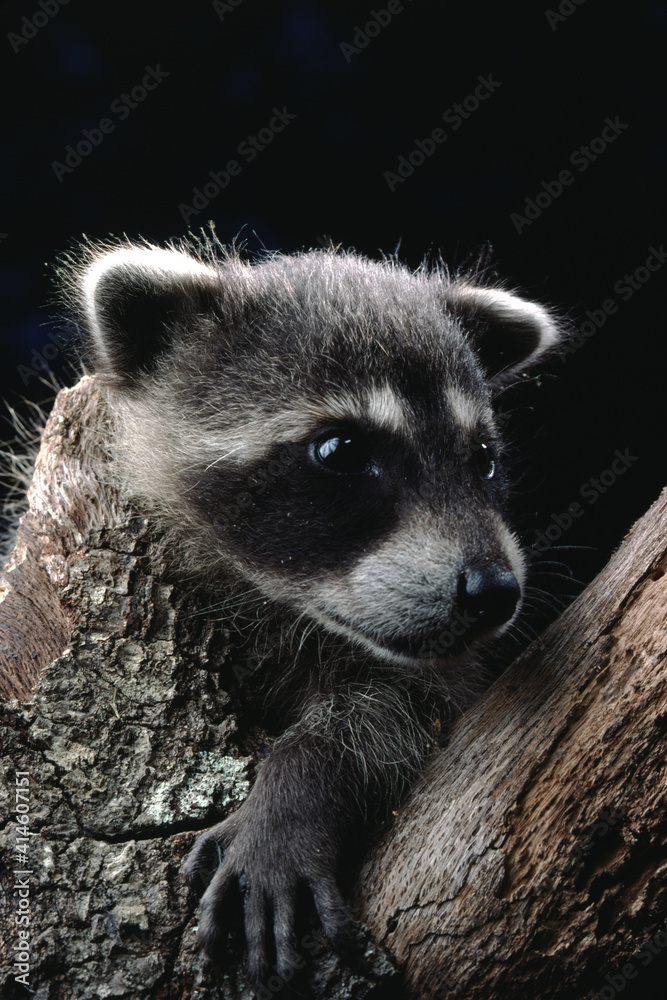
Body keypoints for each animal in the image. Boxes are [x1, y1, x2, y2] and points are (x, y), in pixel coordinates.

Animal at [68, 236, 562, 989]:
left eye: (482, 458)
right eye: (341, 451)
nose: (492, 591)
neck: (279, 604)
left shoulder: (431, 668)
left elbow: (386, 716)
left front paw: (295, 792)